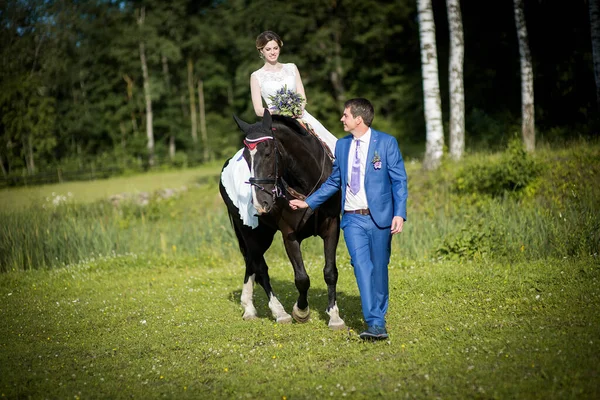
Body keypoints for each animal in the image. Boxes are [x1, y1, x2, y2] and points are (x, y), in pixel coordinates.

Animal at [219, 108, 346, 328]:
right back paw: (278, 312)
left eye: (268, 152)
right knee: (260, 267)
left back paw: (249, 307)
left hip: (264, 233)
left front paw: (334, 316)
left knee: (251, 262)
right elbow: (302, 278)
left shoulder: (332, 227)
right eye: (246, 157)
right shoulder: (289, 234)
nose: (260, 202)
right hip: (250, 231)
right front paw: (301, 311)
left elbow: (330, 272)